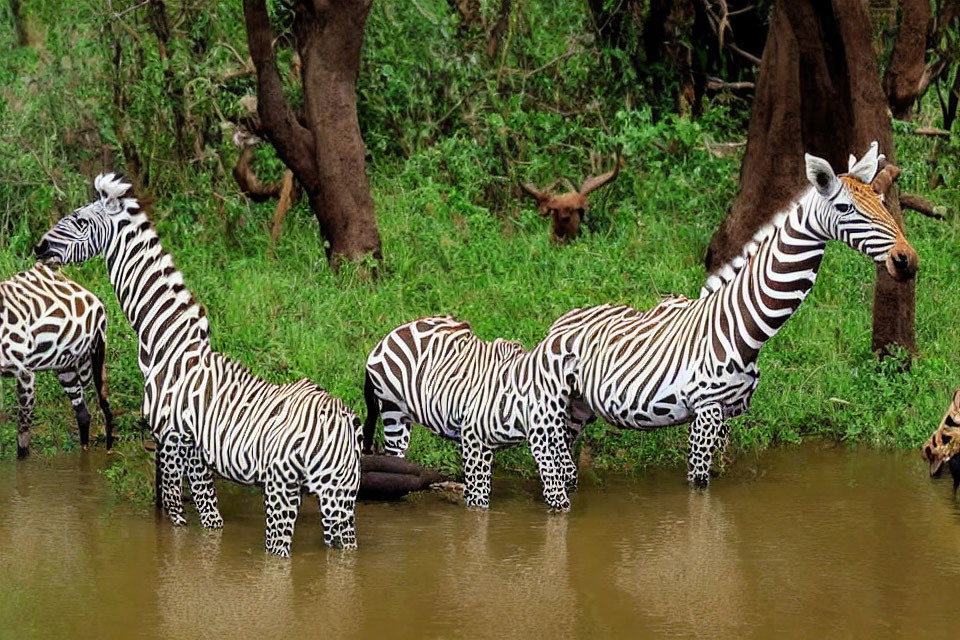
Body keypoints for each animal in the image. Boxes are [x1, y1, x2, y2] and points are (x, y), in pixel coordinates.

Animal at [0, 262, 113, 458]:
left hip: (96, 361)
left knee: (106, 411)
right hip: (65, 369)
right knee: (83, 415)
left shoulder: (25, 375)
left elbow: (23, 438)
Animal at [34, 175, 364, 556]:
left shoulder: (170, 437)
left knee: (279, 552)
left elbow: (174, 513)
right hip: (339, 496)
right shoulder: (196, 450)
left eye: (81, 221)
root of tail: (346, 419)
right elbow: (210, 519)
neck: (166, 342)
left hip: (285, 488)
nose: (39, 248)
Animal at [364, 316, 580, 510]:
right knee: (394, 454)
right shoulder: (475, 441)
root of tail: (386, 339)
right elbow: (479, 500)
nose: (565, 506)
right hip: (393, 411)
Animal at [544, 144, 920, 484]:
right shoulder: (704, 412)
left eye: (882, 203)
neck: (743, 325)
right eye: (844, 208)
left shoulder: (727, 415)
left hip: (578, 408)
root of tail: (561, 319)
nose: (906, 260)